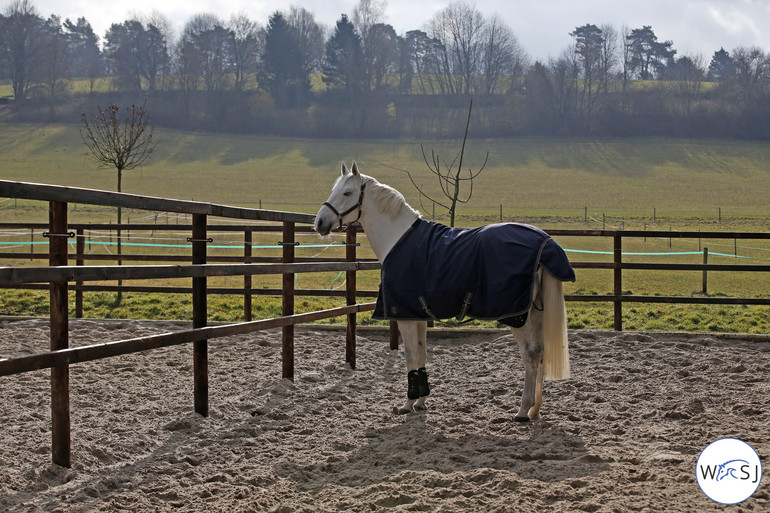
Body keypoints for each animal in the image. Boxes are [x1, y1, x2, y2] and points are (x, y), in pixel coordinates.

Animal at [314, 163, 568, 420]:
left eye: (347, 193)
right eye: (335, 190)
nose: (320, 223)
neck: (398, 238)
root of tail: (544, 241)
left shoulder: (404, 316)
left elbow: (411, 356)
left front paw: (408, 403)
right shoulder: (418, 315)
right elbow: (422, 354)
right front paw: (421, 401)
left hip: (517, 316)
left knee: (531, 355)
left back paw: (523, 409)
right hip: (535, 313)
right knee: (541, 353)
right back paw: (535, 409)